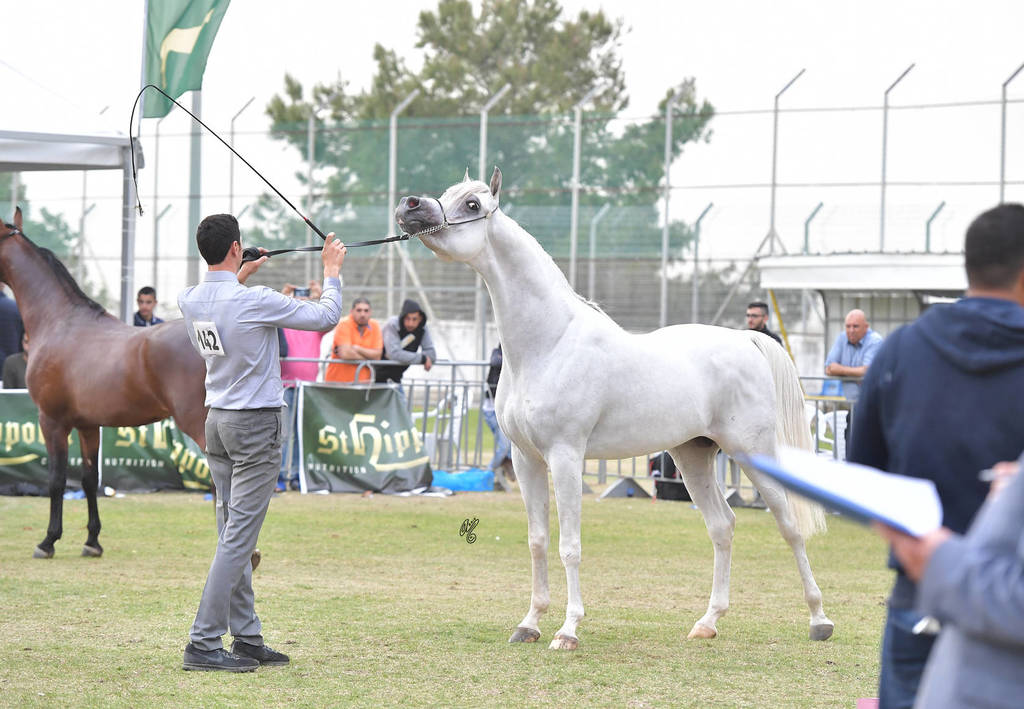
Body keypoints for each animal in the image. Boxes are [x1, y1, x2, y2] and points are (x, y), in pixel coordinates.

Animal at [0, 209, 208, 559]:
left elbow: (56, 479)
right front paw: (92, 541)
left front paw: (48, 541)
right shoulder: (88, 425)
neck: (60, 321)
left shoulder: (51, 421)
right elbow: (88, 479)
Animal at [395, 168, 834, 649]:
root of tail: (745, 339)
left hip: (752, 452)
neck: (549, 342)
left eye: (473, 204)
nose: (411, 205)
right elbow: (538, 540)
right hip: (693, 455)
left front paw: (567, 630)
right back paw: (707, 622)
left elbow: (569, 546)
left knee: (789, 525)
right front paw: (530, 623)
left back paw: (819, 620)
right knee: (722, 526)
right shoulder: (526, 459)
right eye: (448, 193)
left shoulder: (566, 456)